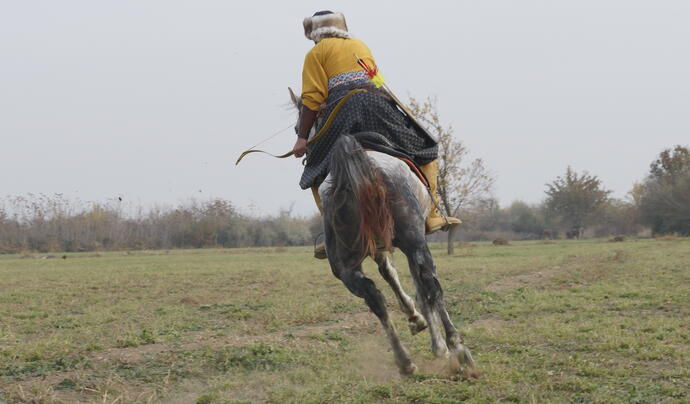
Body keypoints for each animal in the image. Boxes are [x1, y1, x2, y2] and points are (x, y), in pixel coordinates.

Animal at [286, 90, 472, 374]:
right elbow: (415, 286)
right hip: (414, 242)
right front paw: (435, 341)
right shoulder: (404, 245)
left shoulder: (379, 247)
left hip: (346, 265)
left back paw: (405, 362)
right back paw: (457, 349)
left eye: (298, 128)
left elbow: (393, 276)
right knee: (430, 284)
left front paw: (420, 324)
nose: (301, 150)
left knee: (374, 298)